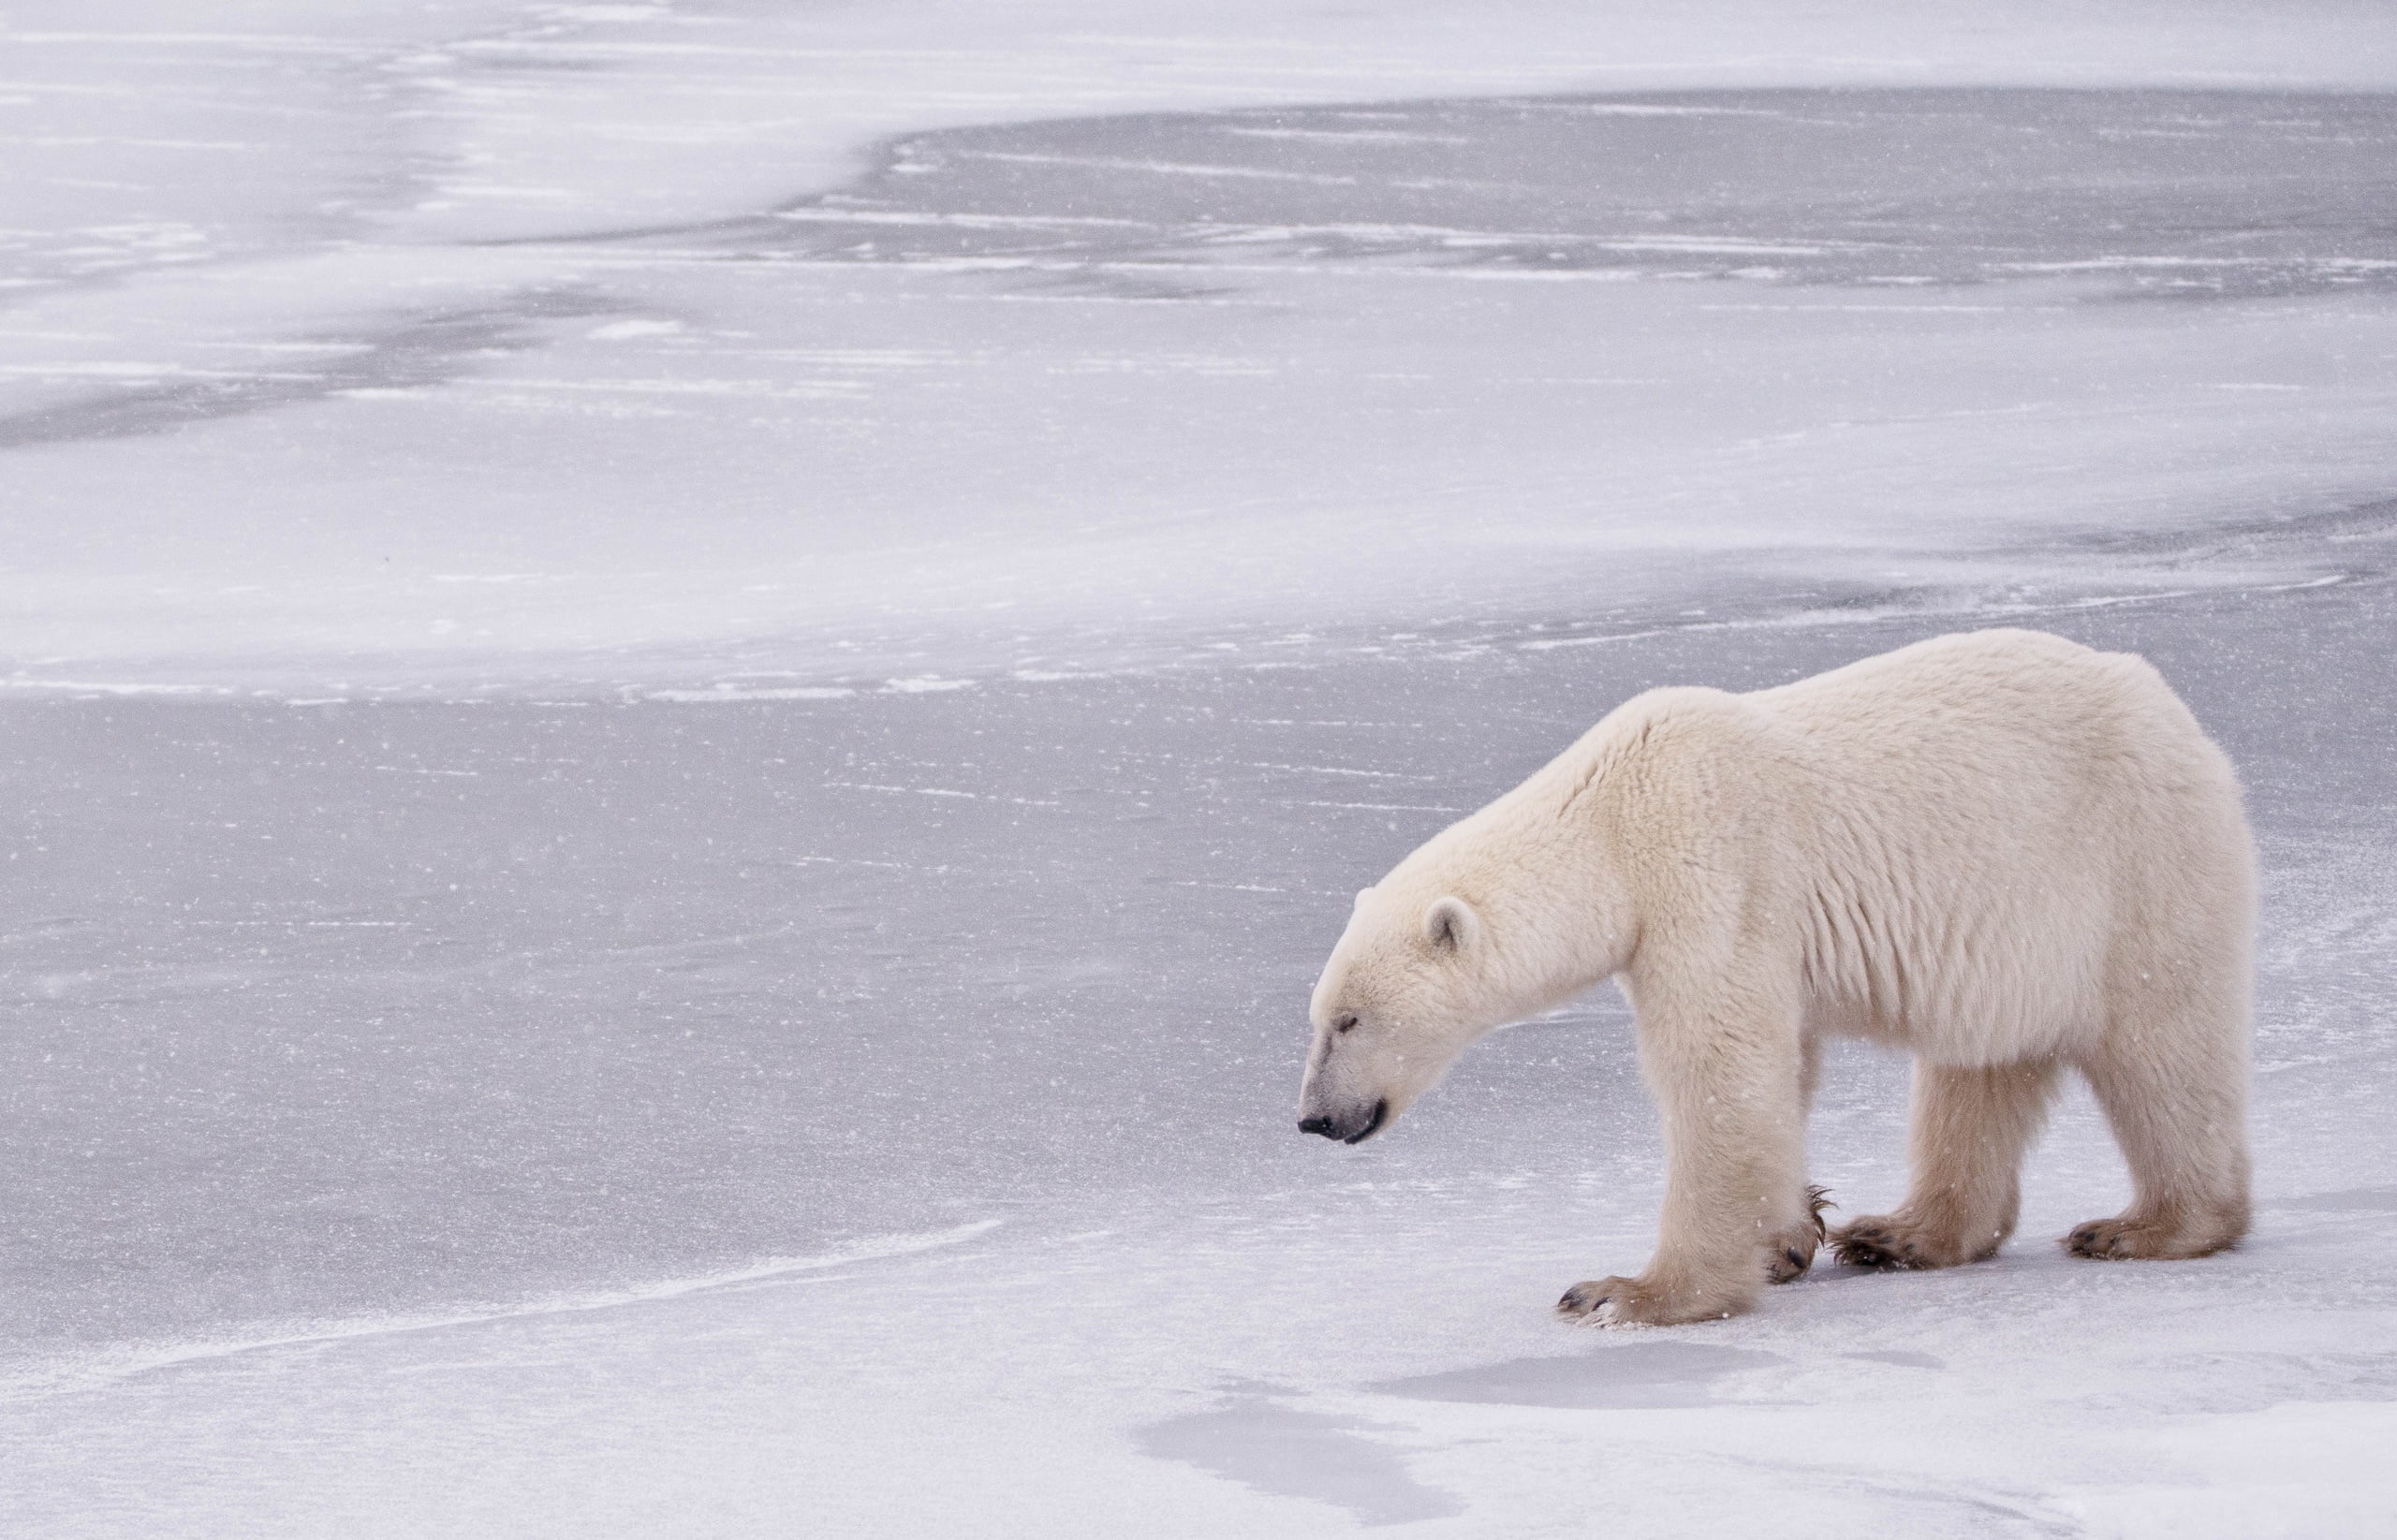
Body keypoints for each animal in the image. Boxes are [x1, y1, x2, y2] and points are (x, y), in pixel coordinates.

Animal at [1296, 628, 2254, 1326]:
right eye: (1319, 1015)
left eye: (1350, 1019)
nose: (1312, 1118)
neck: (1613, 819)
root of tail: (2183, 720)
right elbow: (1781, 1063)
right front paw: (1792, 1235)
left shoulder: (1710, 876)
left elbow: (1720, 1075)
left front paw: (1625, 1292)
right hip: (2013, 933)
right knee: (1977, 1070)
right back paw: (1901, 1234)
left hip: (2134, 867)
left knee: (2161, 1049)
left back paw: (2150, 1226)